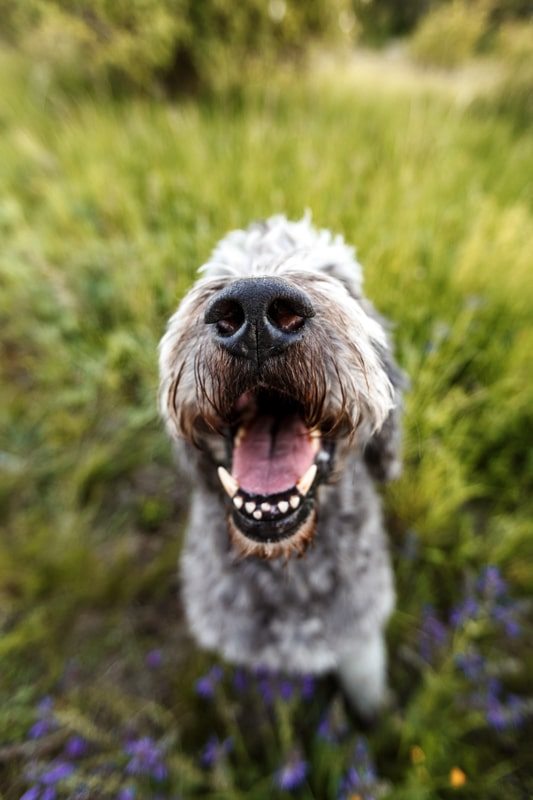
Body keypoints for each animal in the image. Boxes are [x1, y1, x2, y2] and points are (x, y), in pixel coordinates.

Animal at [158, 214, 404, 720]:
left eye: (340, 280)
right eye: (219, 271)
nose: (254, 306)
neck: (286, 567)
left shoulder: (359, 636)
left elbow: (366, 688)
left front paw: (378, 721)